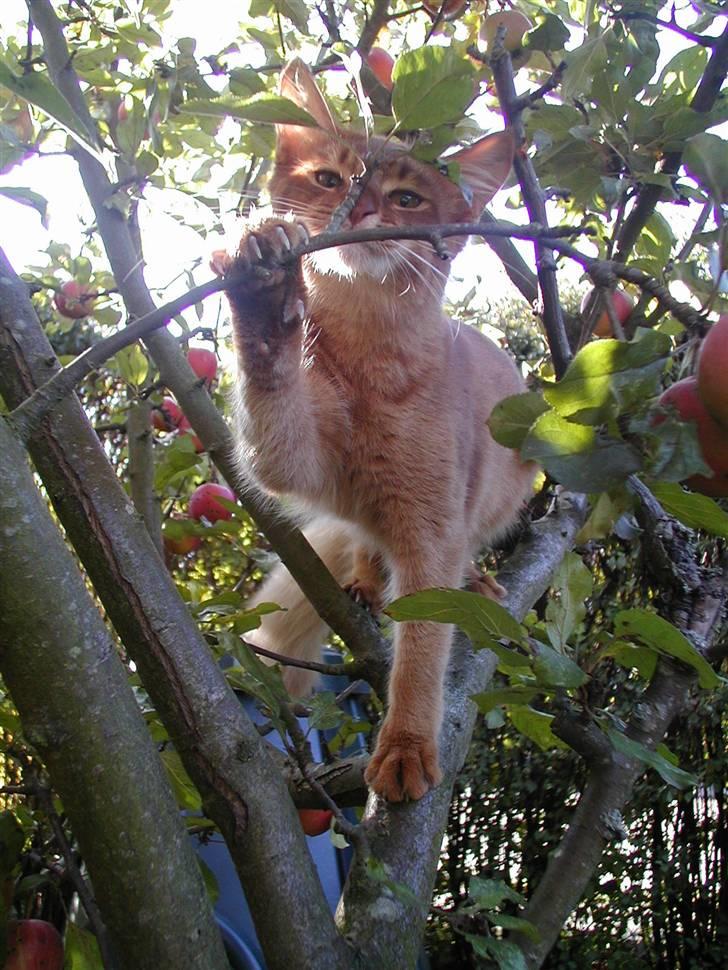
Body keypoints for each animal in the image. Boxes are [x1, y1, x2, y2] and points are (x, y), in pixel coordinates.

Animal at [213, 62, 532, 800]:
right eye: (329, 178)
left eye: (407, 198)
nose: (359, 215)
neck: (368, 361)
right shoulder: (293, 458)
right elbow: (270, 391)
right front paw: (265, 286)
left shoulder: (432, 528)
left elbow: (422, 646)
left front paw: (408, 747)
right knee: (361, 534)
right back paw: (361, 573)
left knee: (465, 547)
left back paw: (475, 581)